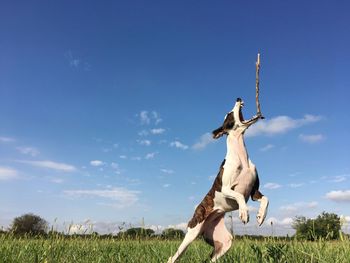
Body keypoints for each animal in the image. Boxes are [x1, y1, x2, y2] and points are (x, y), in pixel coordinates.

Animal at [168, 98, 270, 262]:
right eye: (229, 114)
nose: (238, 98)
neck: (241, 157)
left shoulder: (254, 192)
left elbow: (266, 199)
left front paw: (261, 216)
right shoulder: (226, 188)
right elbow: (239, 195)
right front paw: (244, 213)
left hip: (224, 243)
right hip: (191, 234)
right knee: (172, 257)